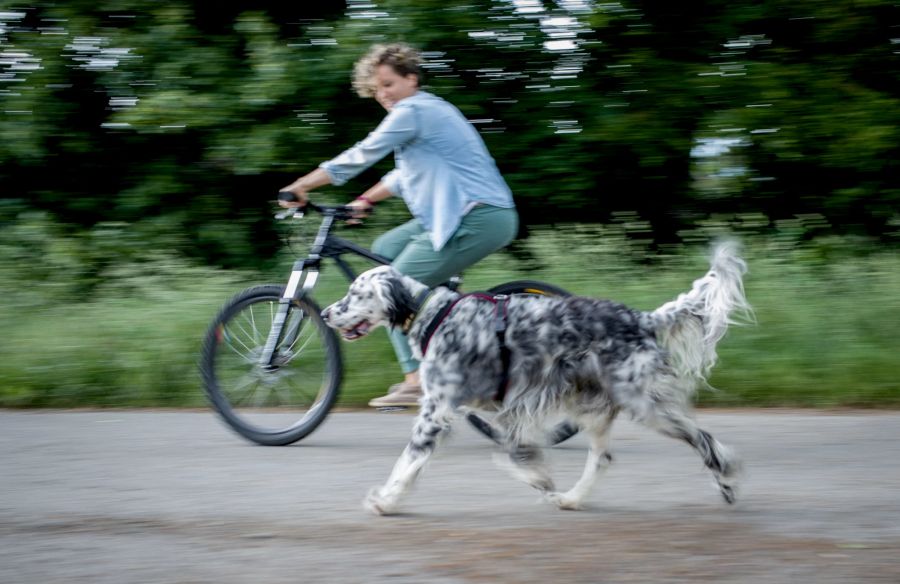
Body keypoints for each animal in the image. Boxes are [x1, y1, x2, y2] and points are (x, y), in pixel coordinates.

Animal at [324, 242, 752, 516]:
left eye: (355, 293)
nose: (327, 313)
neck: (433, 315)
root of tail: (642, 318)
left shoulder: (437, 411)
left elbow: (408, 461)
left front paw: (386, 501)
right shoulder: (506, 406)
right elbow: (517, 450)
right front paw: (538, 476)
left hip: (645, 404)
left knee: (704, 439)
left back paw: (728, 482)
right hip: (594, 407)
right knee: (603, 458)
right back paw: (572, 499)